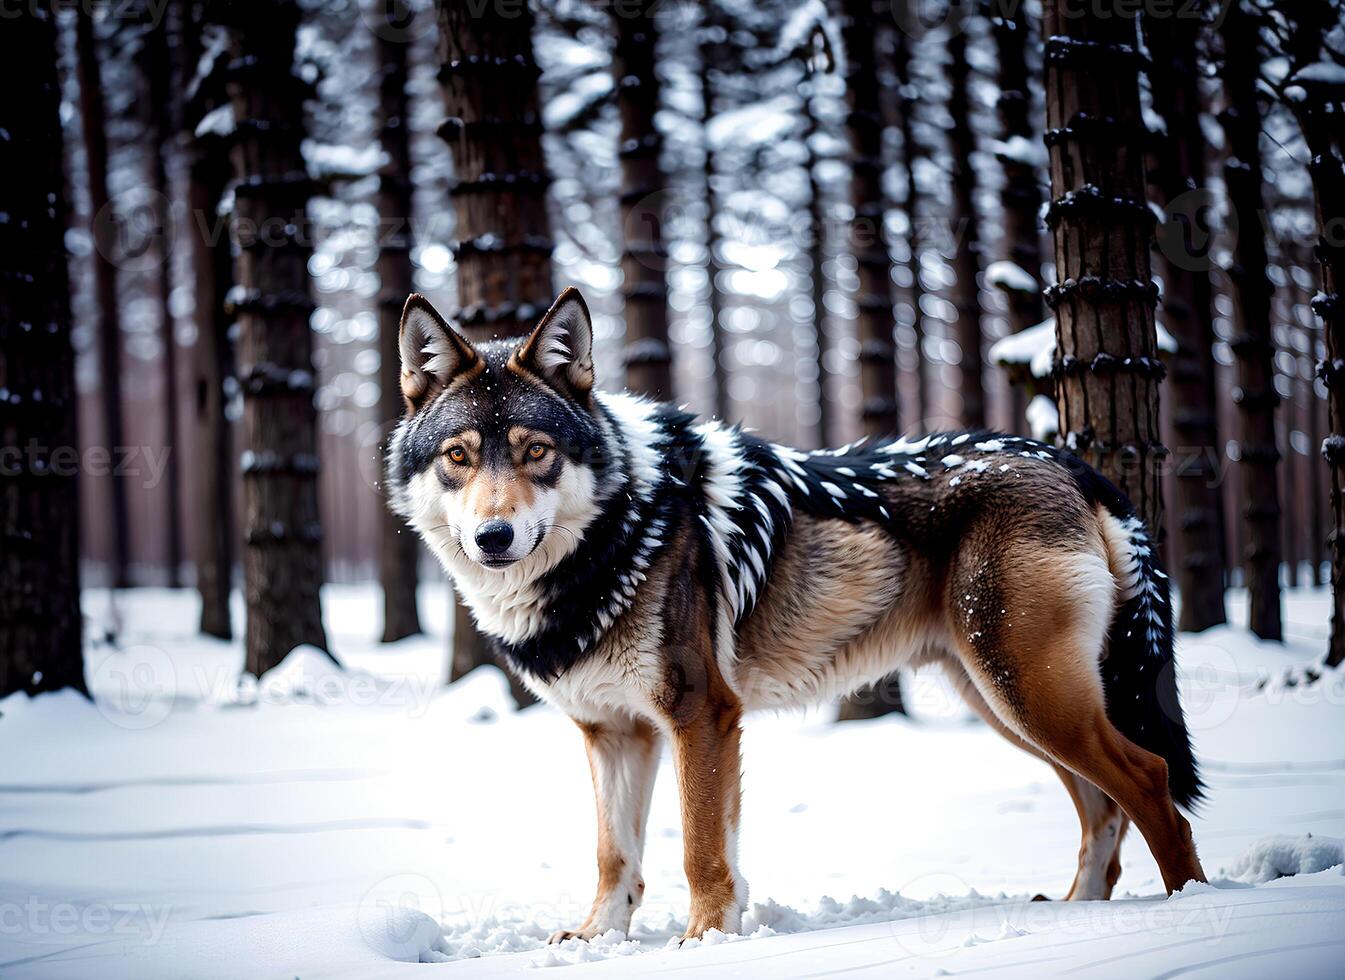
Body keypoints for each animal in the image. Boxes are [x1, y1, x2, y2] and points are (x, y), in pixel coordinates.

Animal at [387, 289, 1210, 941]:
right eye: (459, 456)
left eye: (535, 452)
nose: (493, 537)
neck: (616, 533)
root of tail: (1066, 462)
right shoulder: (612, 732)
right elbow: (614, 854)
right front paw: (597, 939)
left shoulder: (700, 714)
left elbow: (698, 848)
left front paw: (704, 942)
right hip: (1008, 703)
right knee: (1102, 808)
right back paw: (1078, 912)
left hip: (1028, 696)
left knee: (1149, 778)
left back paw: (1192, 909)